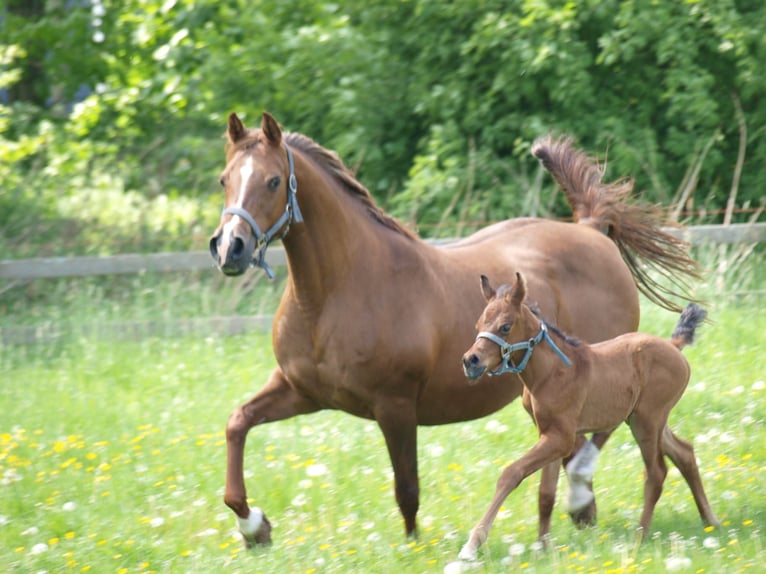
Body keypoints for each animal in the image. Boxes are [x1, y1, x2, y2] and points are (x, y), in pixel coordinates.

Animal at [207, 112, 700, 548]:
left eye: (273, 181)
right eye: (225, 179)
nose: (231, 249)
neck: (336, 293)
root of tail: (593, 230)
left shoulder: (395, 405)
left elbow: (407, 488)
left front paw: (416, 547)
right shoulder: (302, 391)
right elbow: (237, 423)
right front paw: (254, 527)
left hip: (603, 368)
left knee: (599, 436)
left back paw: (581, 497)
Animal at [456, 276, 720, 564]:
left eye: (505, 326)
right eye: (478, 325)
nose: (471, 361)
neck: (551, 372)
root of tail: (673, 346)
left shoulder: (562, 437)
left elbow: (511, 473)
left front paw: (472, 545)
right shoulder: (549, 433)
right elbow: (546, 494)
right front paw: (543, 548)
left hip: (648, 421)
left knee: (656, 473)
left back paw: (639, 539)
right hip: (643, 419)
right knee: (684, 452)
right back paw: (711, 521)